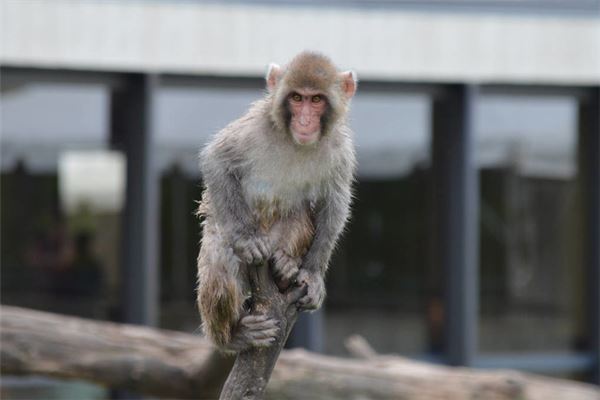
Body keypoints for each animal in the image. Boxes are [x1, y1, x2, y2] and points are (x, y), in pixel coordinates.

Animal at [197, 50, 356, 354]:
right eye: (296, 98)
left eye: (315, 100)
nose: (304, 121)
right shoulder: (254, 128)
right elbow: (217, 161)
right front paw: (246, 238)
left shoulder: (340, 150)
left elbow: (335, 202)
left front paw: (312, 273)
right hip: (222, 246)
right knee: (221, 267)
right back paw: (233, 336)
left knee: (299, 217)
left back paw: (285, 265)